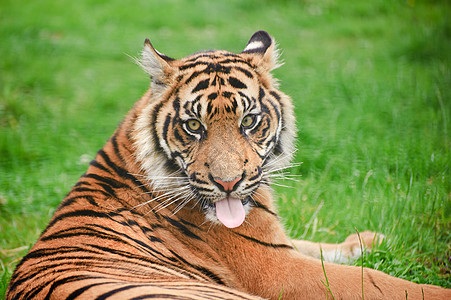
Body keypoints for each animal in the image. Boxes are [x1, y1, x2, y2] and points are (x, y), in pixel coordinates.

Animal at [6, 29, 448, 298]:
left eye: (248, 121)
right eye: (193, 126)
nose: (229, 183)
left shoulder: (279, 243)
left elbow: (319, 246)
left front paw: (370, 240)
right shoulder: (274, 266)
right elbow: (376, 282)